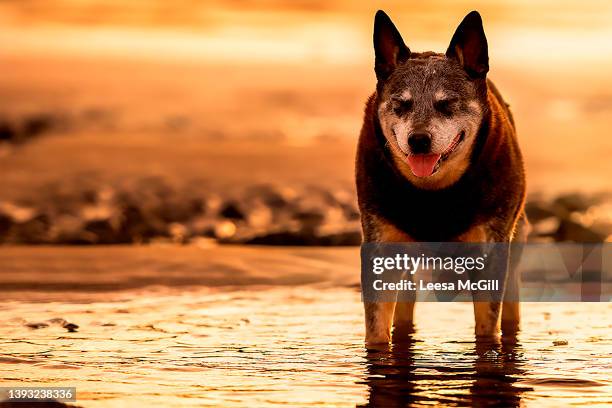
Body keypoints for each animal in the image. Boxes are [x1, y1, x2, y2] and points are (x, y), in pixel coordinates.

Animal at [356, 10, 528, 344]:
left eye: (447, 104)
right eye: (401, 104)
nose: (419, 140)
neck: (433, 193)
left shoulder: (490, 250)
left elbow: (487, 327)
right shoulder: (381, 246)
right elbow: (377, 328)